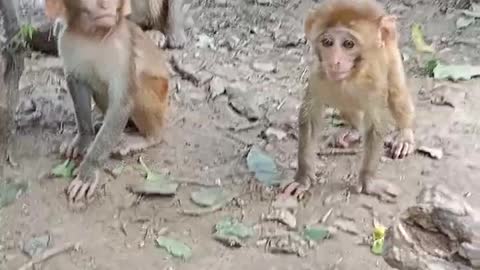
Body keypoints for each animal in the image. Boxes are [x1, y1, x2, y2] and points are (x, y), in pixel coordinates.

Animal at [43, 0, 171, 208]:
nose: (105, 5)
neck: (92, 34)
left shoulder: (121, 47)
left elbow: (122, 102)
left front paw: (88, 172)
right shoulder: (66, 38)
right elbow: (76, 81)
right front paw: (83, 139)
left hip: (159, 95)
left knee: (137, 85)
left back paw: (148, 137)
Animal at [280, 0, 414, 201]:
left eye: (348, 44)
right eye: (327, 42)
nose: (334, 61)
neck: (351, 76)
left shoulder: (373, 82)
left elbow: (376, 126)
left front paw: (367, 181)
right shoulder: (318, 77)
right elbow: (310, 119)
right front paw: (302, 178)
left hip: (392, 53)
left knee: (396, 94)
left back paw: (404, 135)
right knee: (345, 104)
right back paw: (354, 130)